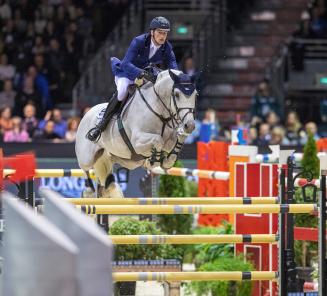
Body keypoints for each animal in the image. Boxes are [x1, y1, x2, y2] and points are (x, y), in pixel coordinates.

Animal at [75, 69, 196, 198]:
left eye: (196, 95)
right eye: (177, 94)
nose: (189, 126)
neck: (159, 112)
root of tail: (86, 113)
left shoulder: (169, 143)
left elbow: (169, 156)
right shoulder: (137, 141)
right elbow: (158, 140)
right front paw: (153, 160)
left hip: (116, 159)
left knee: (106, 182)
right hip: (87, 158)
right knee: (85, 170)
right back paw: (88, 190)